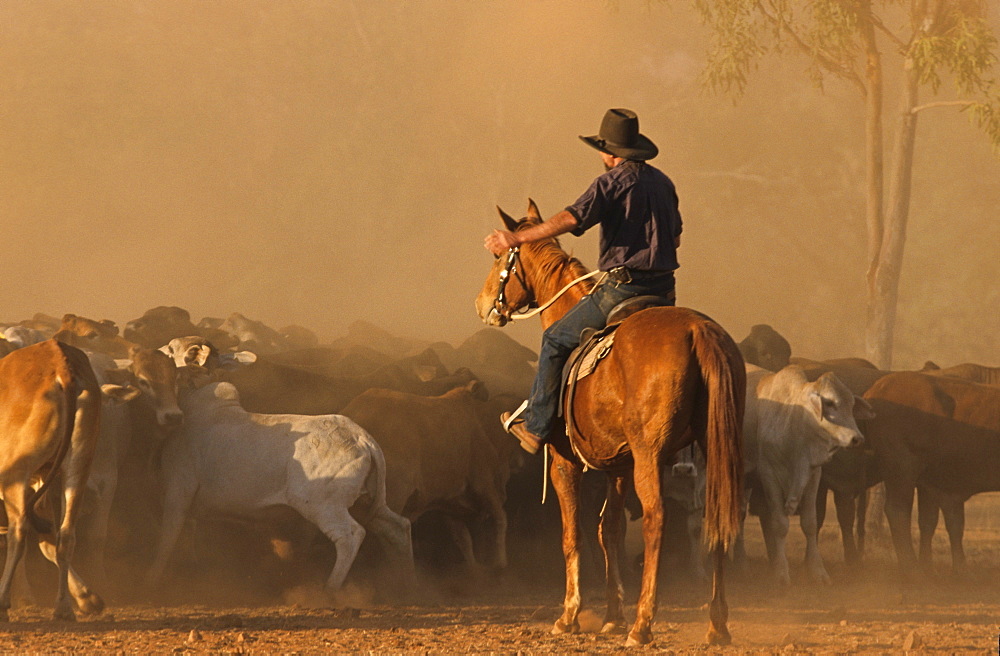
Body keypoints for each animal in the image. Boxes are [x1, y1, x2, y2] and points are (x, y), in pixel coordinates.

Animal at [146, 380, 412, 596]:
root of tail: (362, 438)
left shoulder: (178, 491)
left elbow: (168, 537)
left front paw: (153, 580)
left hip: (324, 506)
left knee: (351, 535)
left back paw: (329, 590)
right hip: (367, 503)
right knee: (398, 527)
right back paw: (408, 586)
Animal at [474, 200, 744, 644]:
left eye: (499, 258)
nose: (482, 306)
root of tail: (698, 330)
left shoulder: (565, 462)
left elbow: (573, 535)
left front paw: (570, 615)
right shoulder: (619, 466)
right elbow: (609, 531)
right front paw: (612, 614)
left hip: (652, 455)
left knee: (656, 519)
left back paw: (643, 623)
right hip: (717, 446)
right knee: (718, 516)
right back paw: (717, 624)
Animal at [744, 364, 876, 584]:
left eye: (851, 405)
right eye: (829, 403)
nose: (857, 438)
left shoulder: (813, 475)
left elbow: (810, 523)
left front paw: (818, 571)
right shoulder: (769, 473)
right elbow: (780, 524)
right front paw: (782, 572)